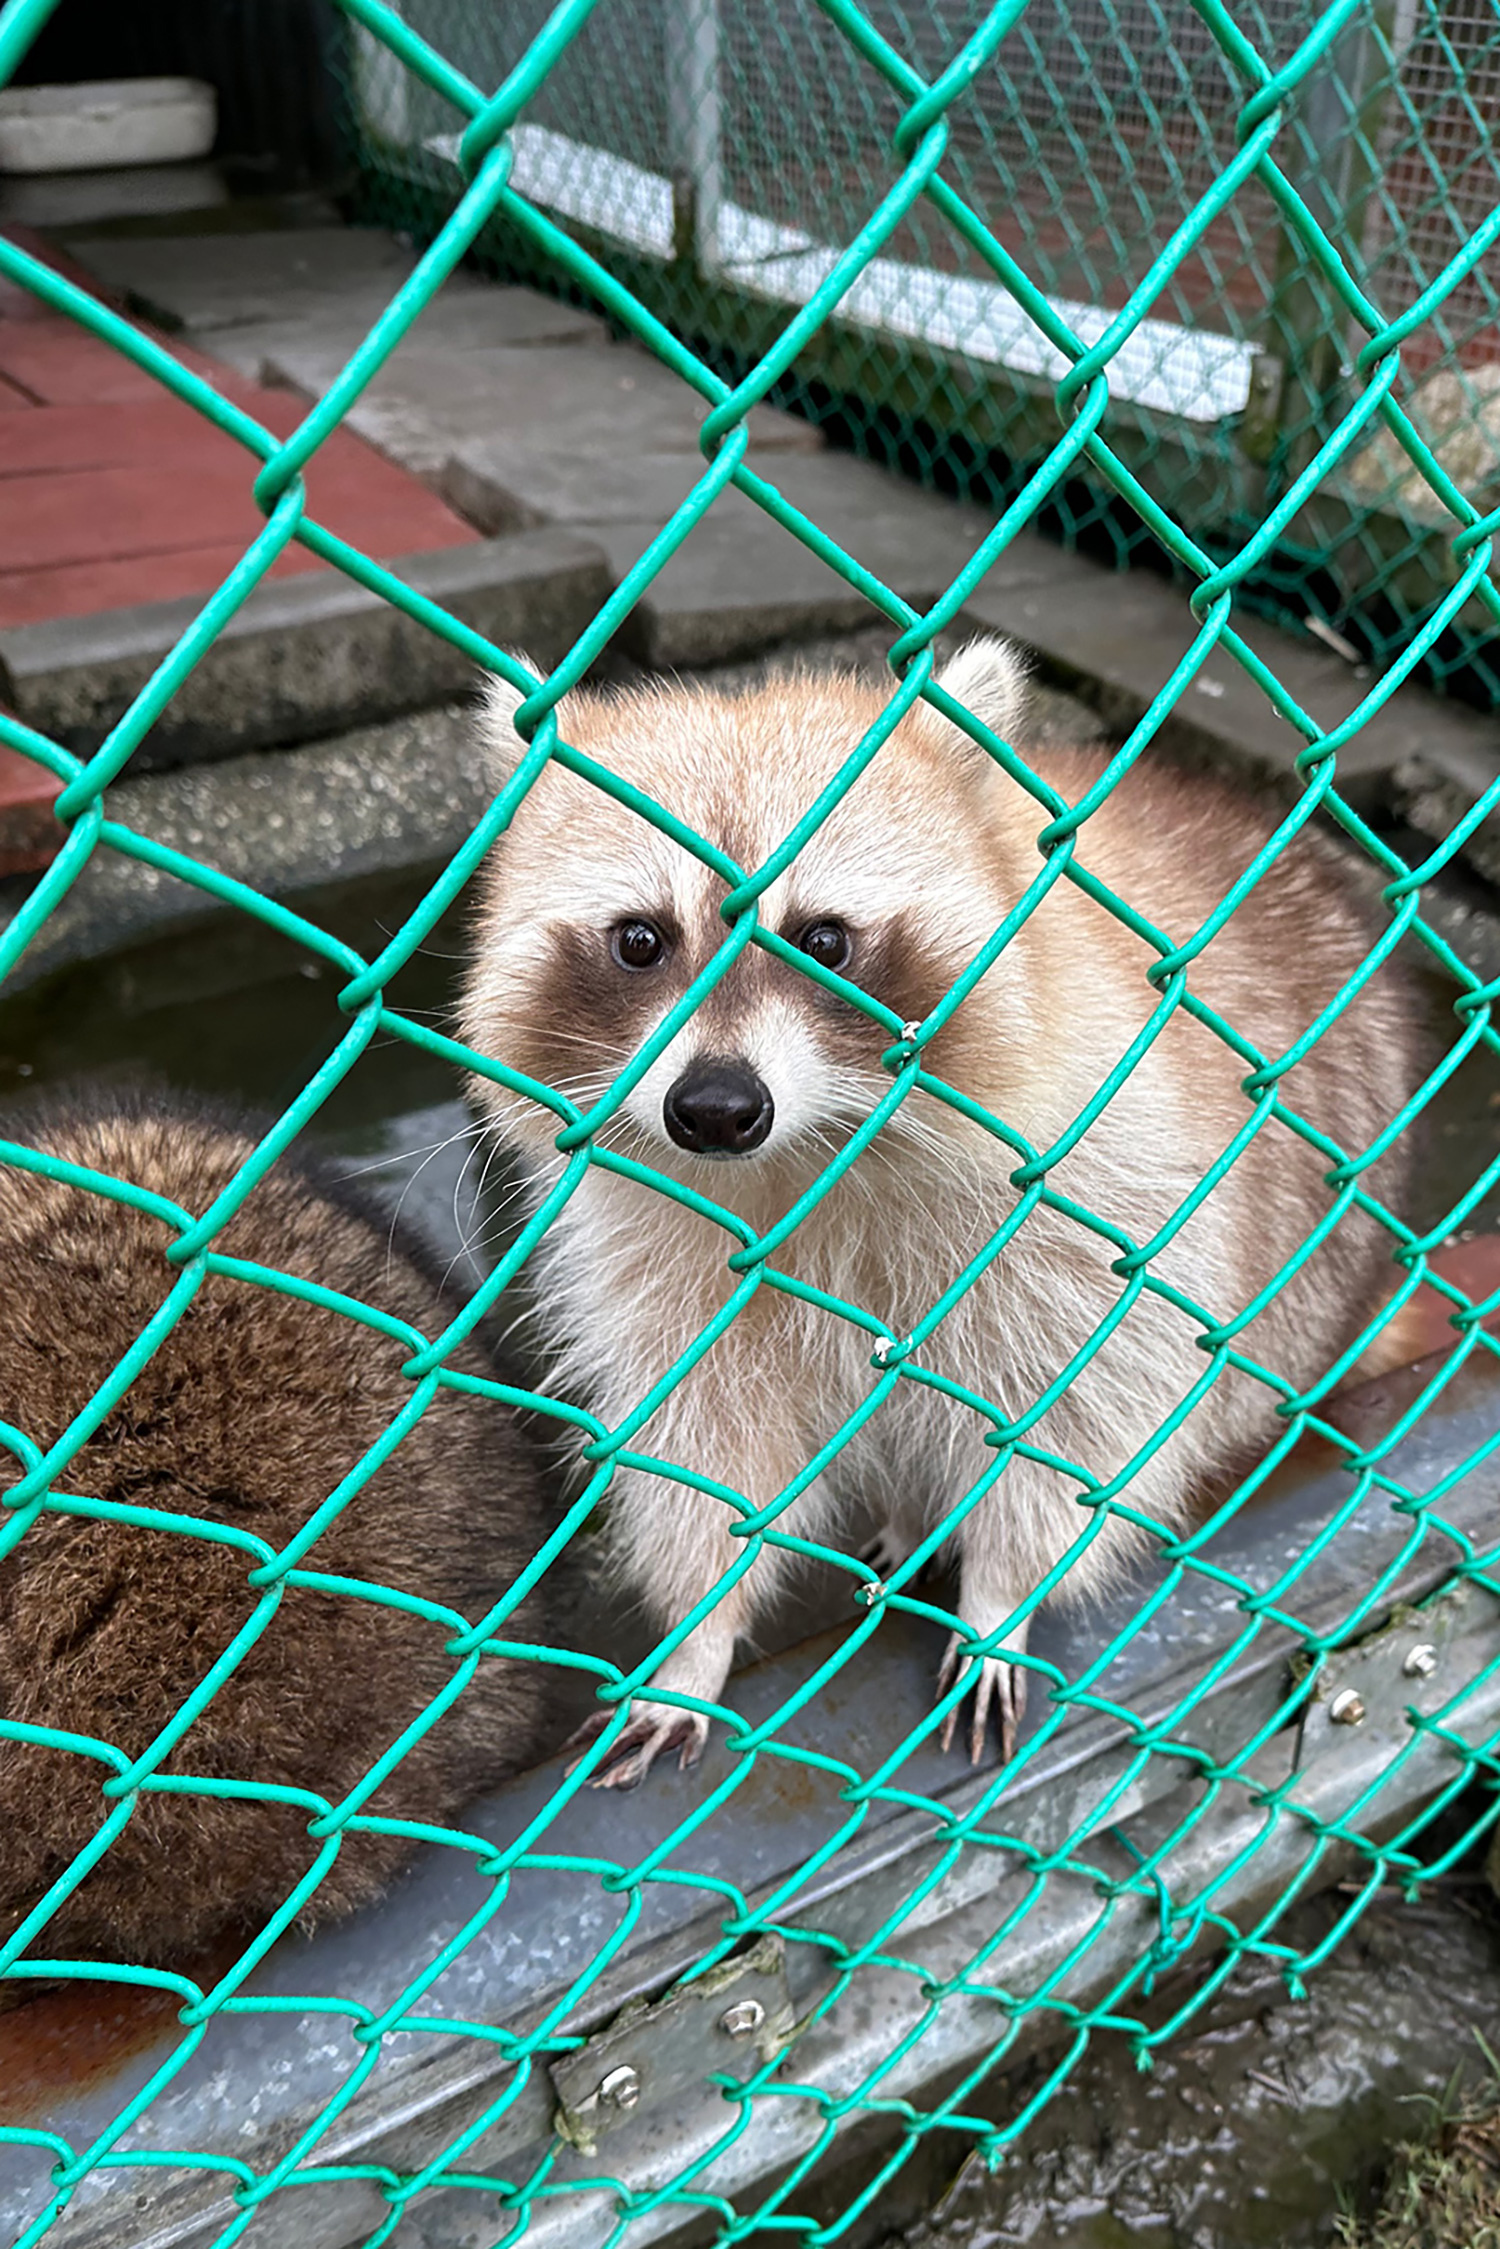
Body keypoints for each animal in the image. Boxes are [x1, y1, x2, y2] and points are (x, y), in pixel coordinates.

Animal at [463, 643, 1430, 1781]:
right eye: (641, 941)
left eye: (824, 939)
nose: (716, 1109)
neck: (809, 1160)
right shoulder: (663, 1256)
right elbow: (704, 1451)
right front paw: (700, 1635)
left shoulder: (1099, 1190)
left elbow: (1079, 1428)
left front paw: (1000, 1596)